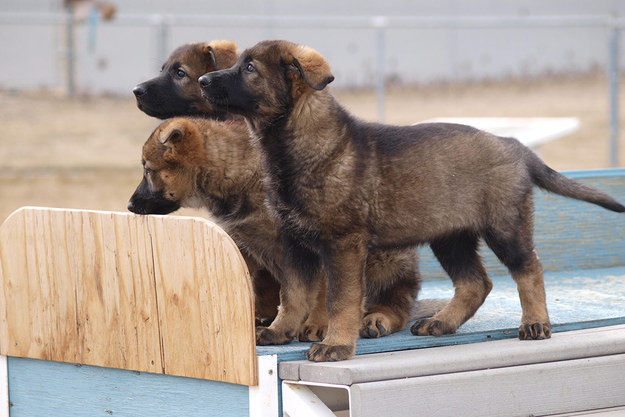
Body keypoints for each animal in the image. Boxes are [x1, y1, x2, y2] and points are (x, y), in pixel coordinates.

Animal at [127, 118, 446, 340]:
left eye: (148, 170)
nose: (129, 206)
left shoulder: (316, 243)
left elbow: (322, 291)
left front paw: (318, 324)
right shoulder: (247, 246)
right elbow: (266, 288)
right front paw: (266, 321)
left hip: (387, 259)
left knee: (394, 305)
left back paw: (376, 318)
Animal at [199, 39, 624, 360]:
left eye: (249, 69)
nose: (202, 80)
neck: (295, 146)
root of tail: (513, 144)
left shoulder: (343, 245)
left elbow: (339, 300)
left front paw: (335, 345)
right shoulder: (296, 243)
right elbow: (293, 294)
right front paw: (280, 331)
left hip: (505, 225)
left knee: (529, 269)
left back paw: (535, 323)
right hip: (450, 236)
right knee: (476, 283)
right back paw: (442, 322)